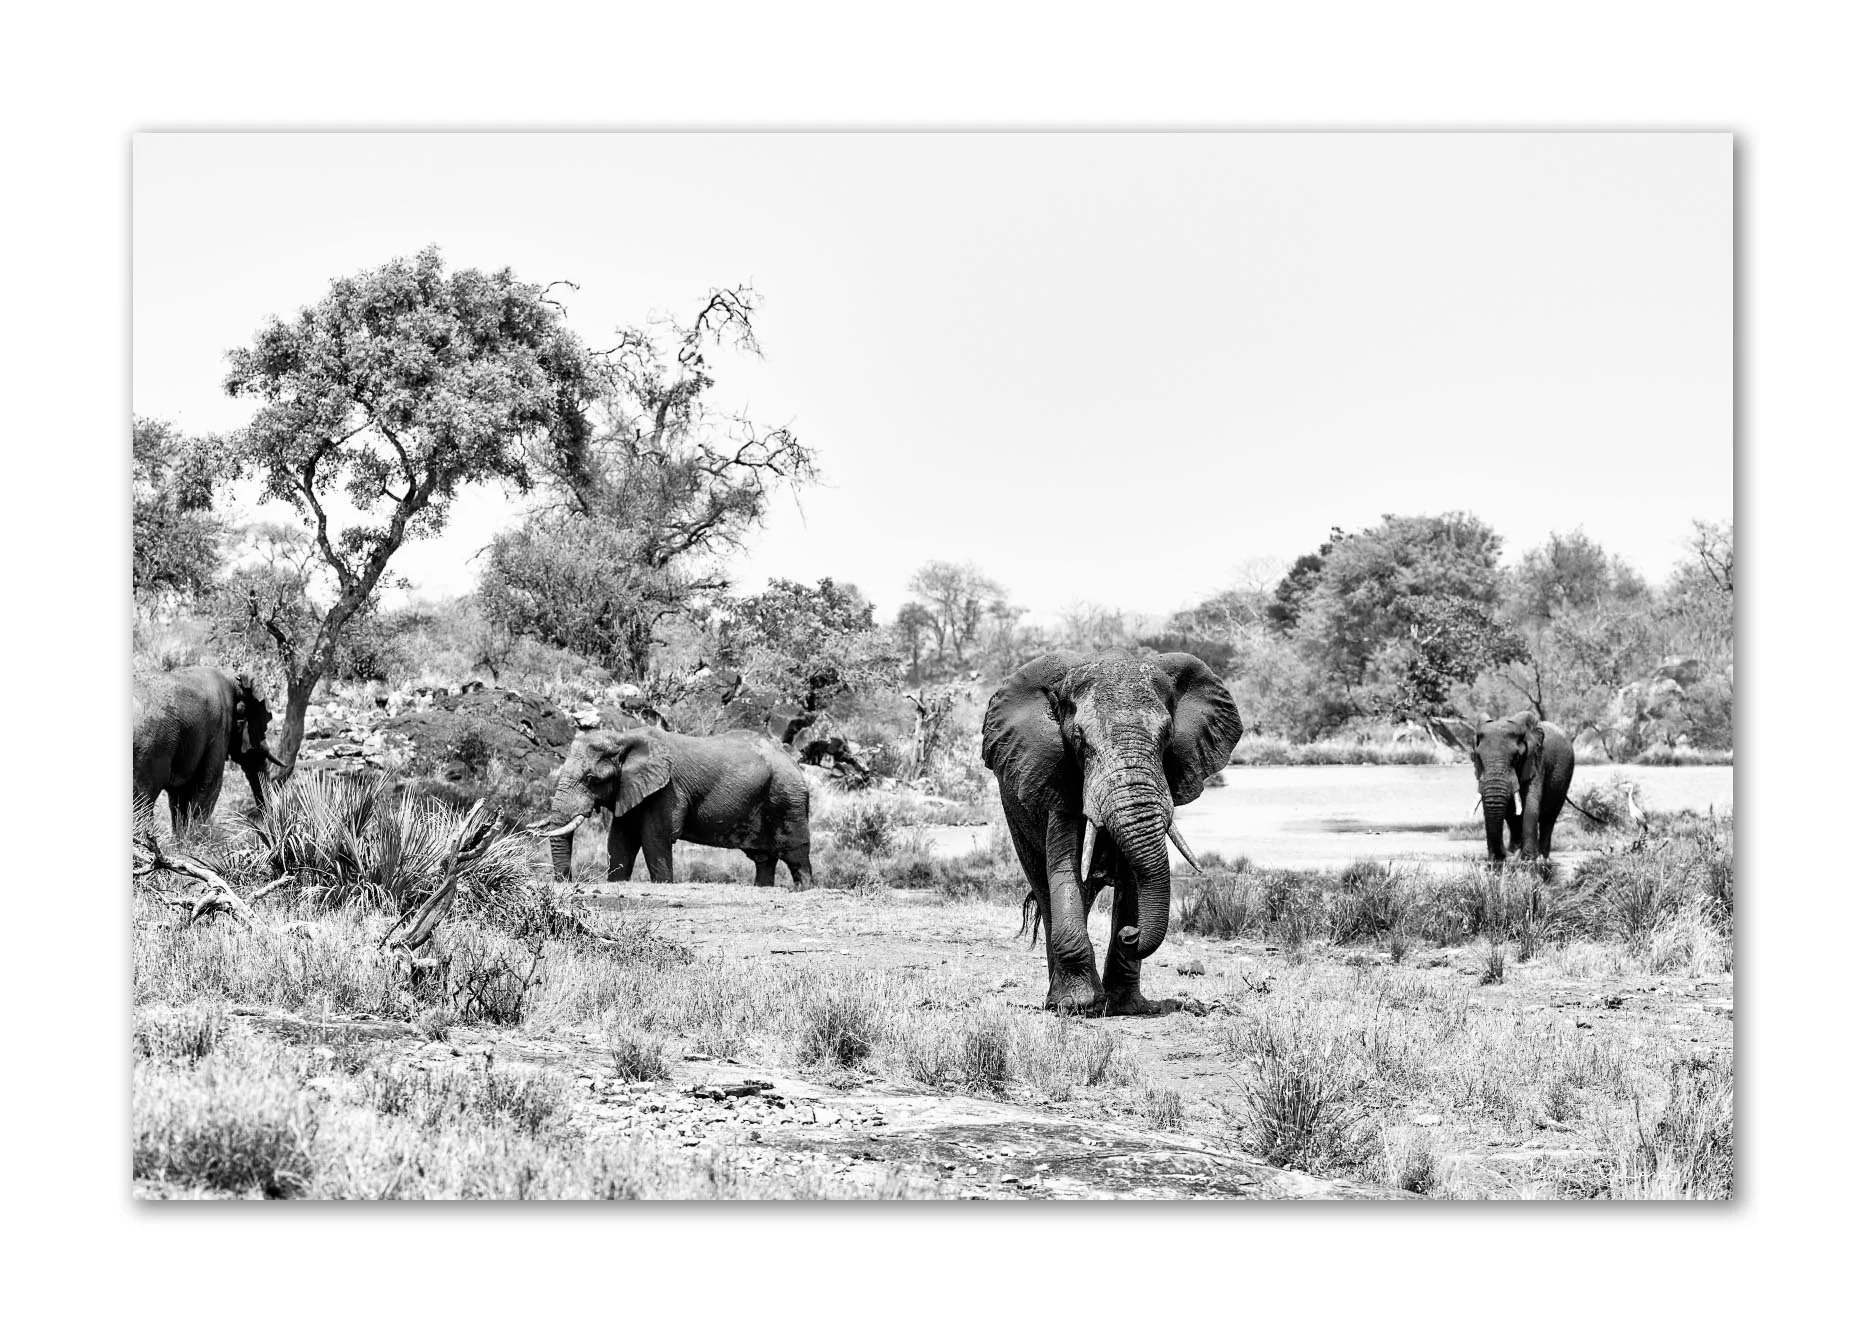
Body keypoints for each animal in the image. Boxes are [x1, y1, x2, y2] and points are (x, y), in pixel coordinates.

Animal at [132, 666, 277, 838]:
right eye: (246, 723)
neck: (234, 679)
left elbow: (180, 794)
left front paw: (183, 840)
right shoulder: (219, 728)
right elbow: (210, 782)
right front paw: (193, 839)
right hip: (151, 746)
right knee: (144, 799)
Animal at [540, 727, 813, 887]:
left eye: (591, 779)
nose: (566, 881)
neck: (622, 738)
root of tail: (792, 760)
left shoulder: (667, 789)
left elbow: (654, 837)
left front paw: (662, 884)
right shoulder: (630, 788)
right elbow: (620, 840)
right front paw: (616, 881)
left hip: (788, 797)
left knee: (796, 854)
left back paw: (803, 888)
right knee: (763, 859)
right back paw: (762, 887)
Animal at [982, 648, 1242, 1015]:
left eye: (1167, 736)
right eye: (1079, 740)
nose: (1131, 934)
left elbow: (1135, 881)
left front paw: (1127, 1007)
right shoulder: (1060, 778)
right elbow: (1065, 869)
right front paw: (1078, 1005)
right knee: (1046, 891)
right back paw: (1057, 1000)